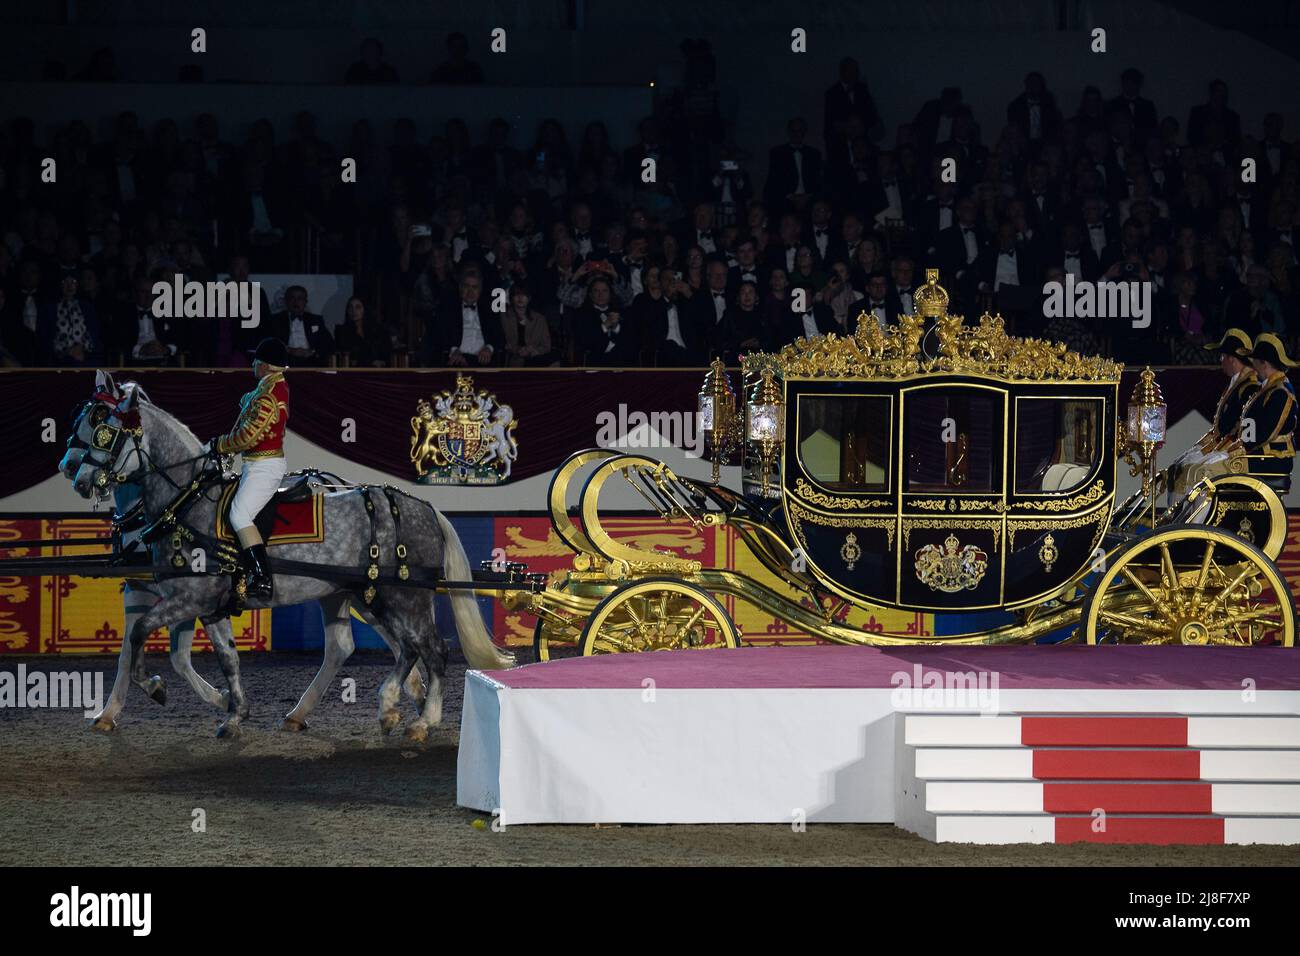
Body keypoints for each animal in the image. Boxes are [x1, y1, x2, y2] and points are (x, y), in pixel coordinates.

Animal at [67, 377, 512, 738]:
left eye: (104, 431)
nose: (77, 476)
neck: (188, 502)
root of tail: (425, 507)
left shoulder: (187, 598)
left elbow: (139, 636)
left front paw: (154, 689)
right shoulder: (209, 605)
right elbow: (226, 657)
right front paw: (233, 713)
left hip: (405, 596)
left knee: (431, 649)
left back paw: (424, 720)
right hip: (373, 594)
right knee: (403, 647)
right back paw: (384, 704)